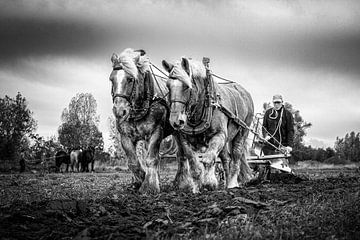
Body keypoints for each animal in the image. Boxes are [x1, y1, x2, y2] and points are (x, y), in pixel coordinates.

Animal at [109, 47, 172, 194]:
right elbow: (133, 162)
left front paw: (150, 186)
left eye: (130, 79)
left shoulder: (156, 132)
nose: (119, 111)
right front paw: (139, 180)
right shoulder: (125, 136)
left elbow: (151, 159)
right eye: (111, 79)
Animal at [162, 56, 255, 191]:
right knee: (226, 158)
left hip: (243, 131)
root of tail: (245, 92)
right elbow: (194, 163)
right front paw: (196, 188)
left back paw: (232, 183)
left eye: (186, 86)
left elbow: (208, 158)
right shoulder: (186, 140)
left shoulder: (219, 135)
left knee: (236, 155)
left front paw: (209, 182)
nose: (175, 120)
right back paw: (227, 182)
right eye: (168, 86)